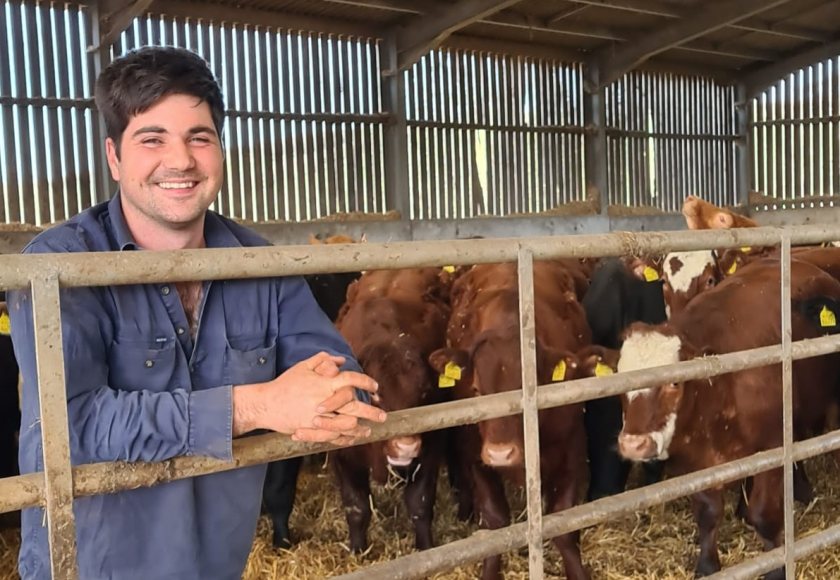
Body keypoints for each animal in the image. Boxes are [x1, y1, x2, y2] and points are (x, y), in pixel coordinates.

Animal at [332, 268, 452, 552]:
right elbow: (356, 506)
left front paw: (426, 548)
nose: (406, 446)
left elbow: (420, 503)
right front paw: (357, 551)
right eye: (375, 393)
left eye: (425, 391)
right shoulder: (341, 455)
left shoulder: (432, 445)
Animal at [430, 262, 588, 580]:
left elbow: (564, 525)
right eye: (476, 389)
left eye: (534, 384)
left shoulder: (572, 447)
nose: (500, 453)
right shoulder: (473, 453)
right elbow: (495, 521)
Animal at [612, 260, 840, 576]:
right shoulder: (697, 462)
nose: (634, 444)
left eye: (674, 382)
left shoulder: (772, 447)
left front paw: (775, 566)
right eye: (619, 377)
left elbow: (765, 516)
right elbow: (707, 513)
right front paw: (708, 565)